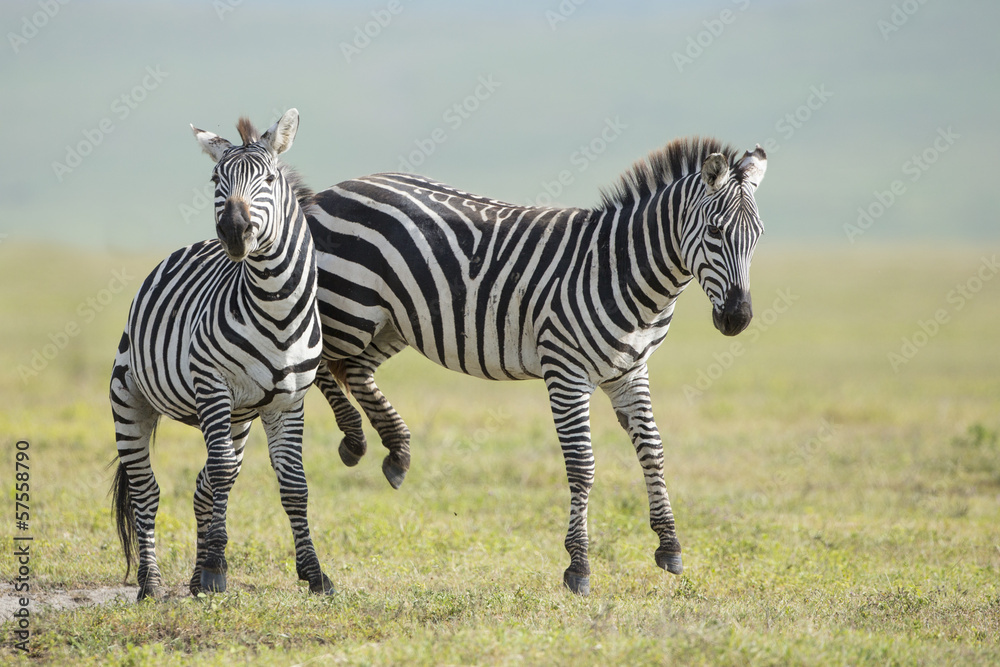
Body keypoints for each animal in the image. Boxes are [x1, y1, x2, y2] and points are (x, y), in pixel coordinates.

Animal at [109, 109, 334, 600]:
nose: (233, 231)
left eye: (268, 178)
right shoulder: (213, 385)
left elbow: (293, 484)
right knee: (148, 490)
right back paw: (151, 584)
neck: (278, 311)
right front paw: (215, 568)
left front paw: (314, 574)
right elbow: (224, 473)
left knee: (206, 483)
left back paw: (194, 579)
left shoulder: (289, 401)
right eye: (216, 178)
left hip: (239, 418)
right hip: (129, 398)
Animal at [306, 137, 767, 595]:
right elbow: (582, 465)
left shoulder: (630, 372)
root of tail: (331, 191)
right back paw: (354, 440)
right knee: (320, 364)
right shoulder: (566, 372)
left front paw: (669, 545)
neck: (622, 271)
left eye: (758, 237)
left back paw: (397, 451)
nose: (738, 318)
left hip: (393, 322)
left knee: (356, 371)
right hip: (349, 309)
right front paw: (579, 565)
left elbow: (653, 450)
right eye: (715, 231)